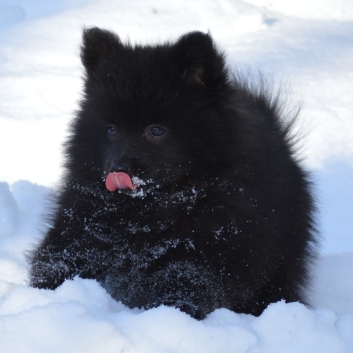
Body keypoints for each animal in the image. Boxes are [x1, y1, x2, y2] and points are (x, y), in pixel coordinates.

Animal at [30, 28, 316, 320]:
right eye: (111, 130)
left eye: (156, 130)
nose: (117, 169)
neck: (149, 211)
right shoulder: (80, 226)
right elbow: (58, 258)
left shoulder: (207, 248)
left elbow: (185, 282)